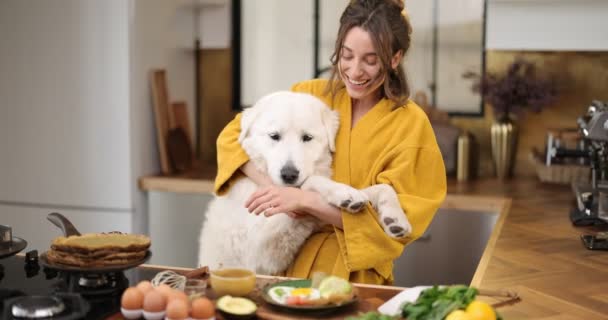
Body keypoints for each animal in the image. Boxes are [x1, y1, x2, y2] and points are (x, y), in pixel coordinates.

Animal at [197, 90, 410, 276]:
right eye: (274, 136)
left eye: (307, 137)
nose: (289, 175)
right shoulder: (263, 245)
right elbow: (311, 182)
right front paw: (344, 194)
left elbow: (383, 188)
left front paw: (395, 219)